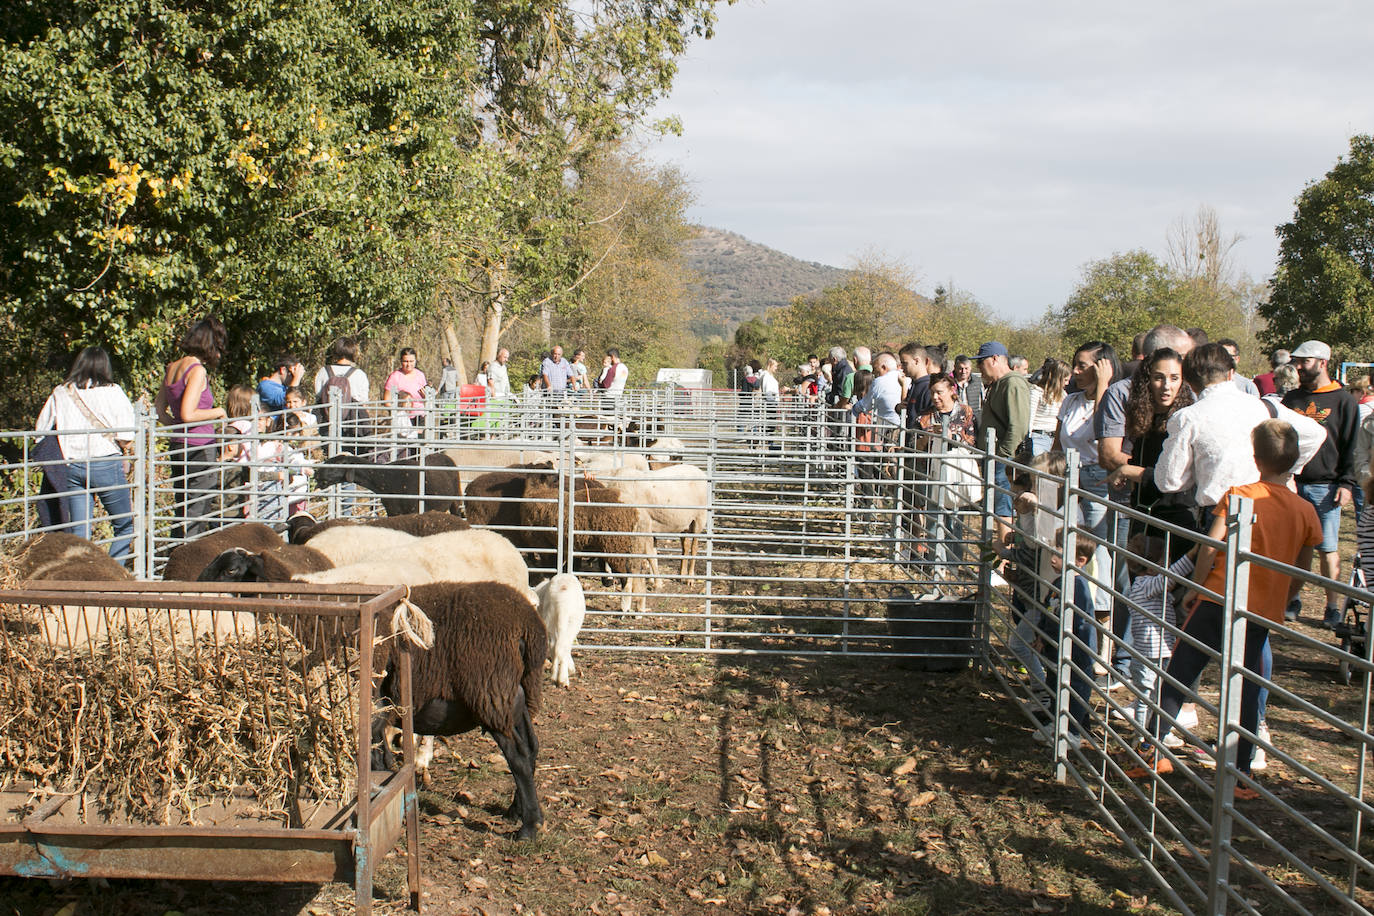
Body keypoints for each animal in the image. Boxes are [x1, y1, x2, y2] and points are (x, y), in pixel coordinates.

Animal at [314, 450, 464, 516]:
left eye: (334, 466)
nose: (316, 474)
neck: (385, 479)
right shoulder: (392, 511)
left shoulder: (414, 510)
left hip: (455, 499)